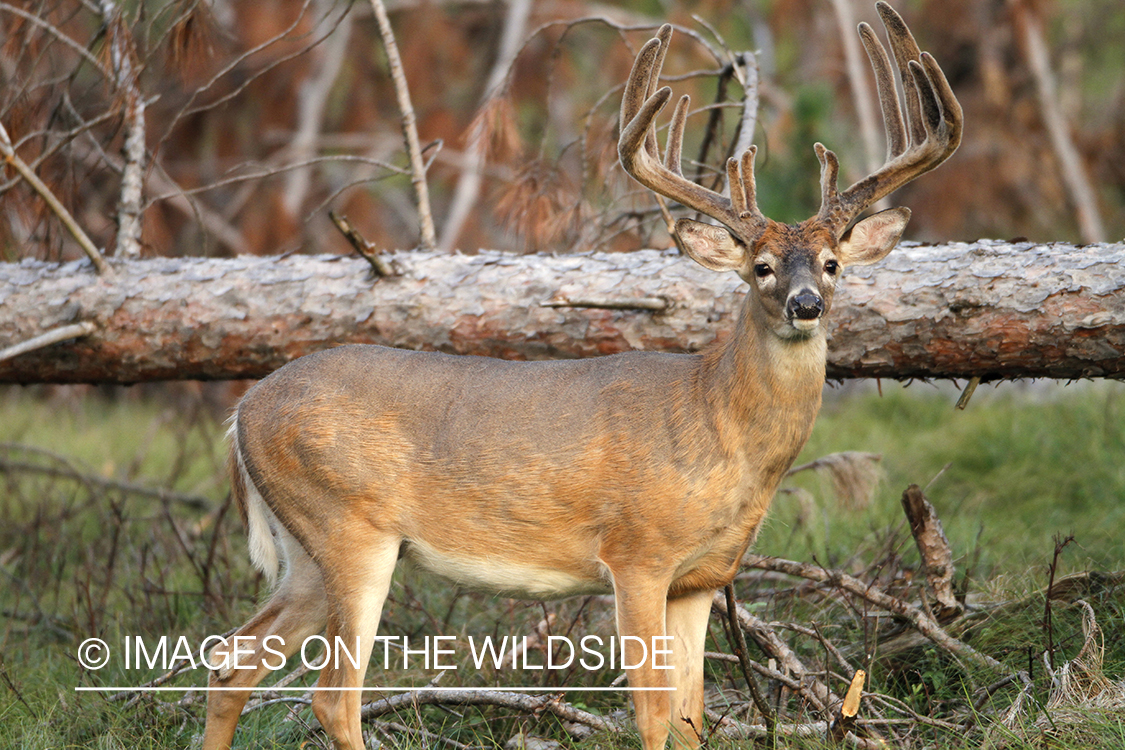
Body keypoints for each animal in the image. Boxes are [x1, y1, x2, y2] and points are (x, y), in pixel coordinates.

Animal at [200, 5, 958, 750]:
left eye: (832, 264)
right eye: (760, 267)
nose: (807, 304)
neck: (715, 418)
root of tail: (242, 412)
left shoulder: (700, 578)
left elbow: (691, 718)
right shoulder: (636, 552)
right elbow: (652, 713)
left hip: (305, 553)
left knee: (231, 659)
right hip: (348, 524)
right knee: (331, 696)